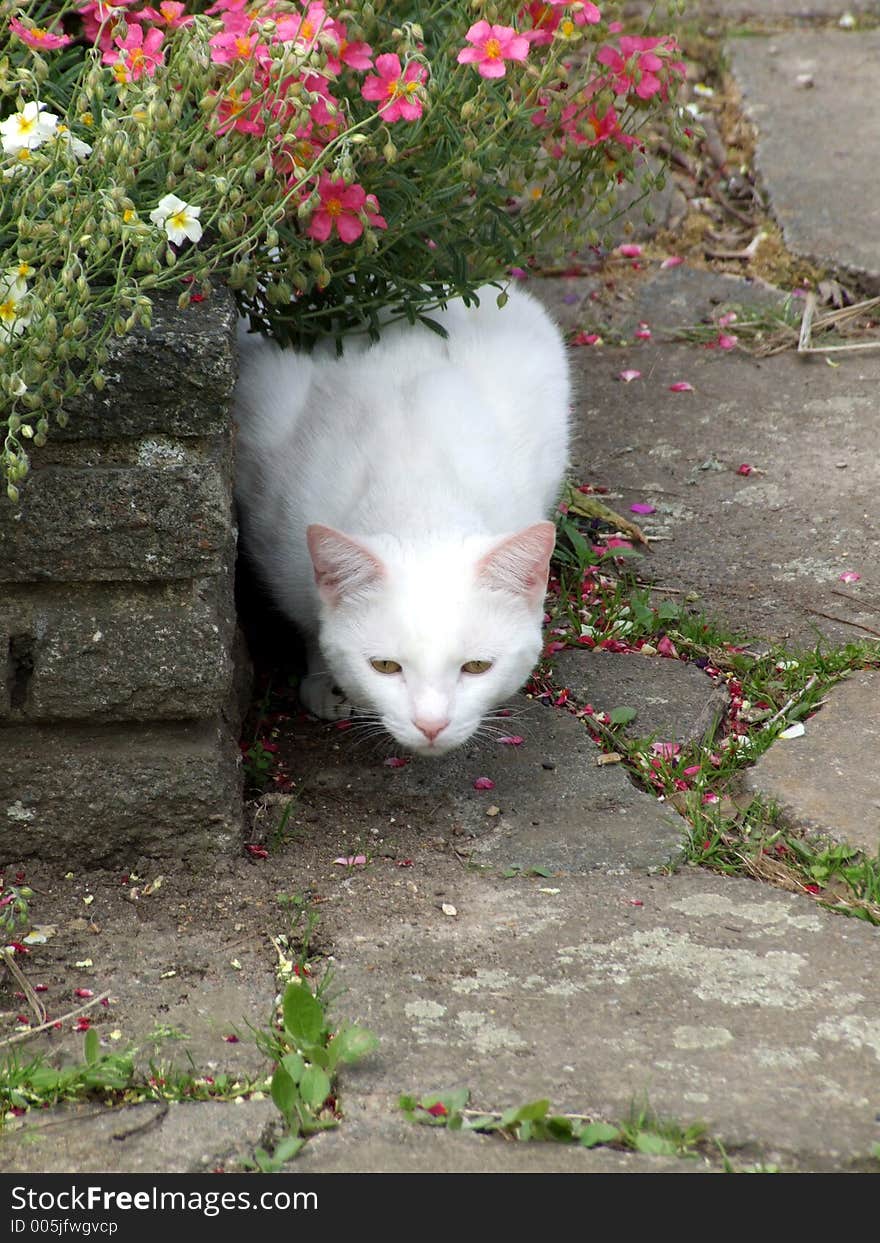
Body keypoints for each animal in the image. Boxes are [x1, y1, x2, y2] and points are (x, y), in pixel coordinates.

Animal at [232, 284, 571, 755]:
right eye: (385, 666)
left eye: (477, 666)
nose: (431, 725)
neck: (417, 494)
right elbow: (312, 626)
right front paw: (324, 685)